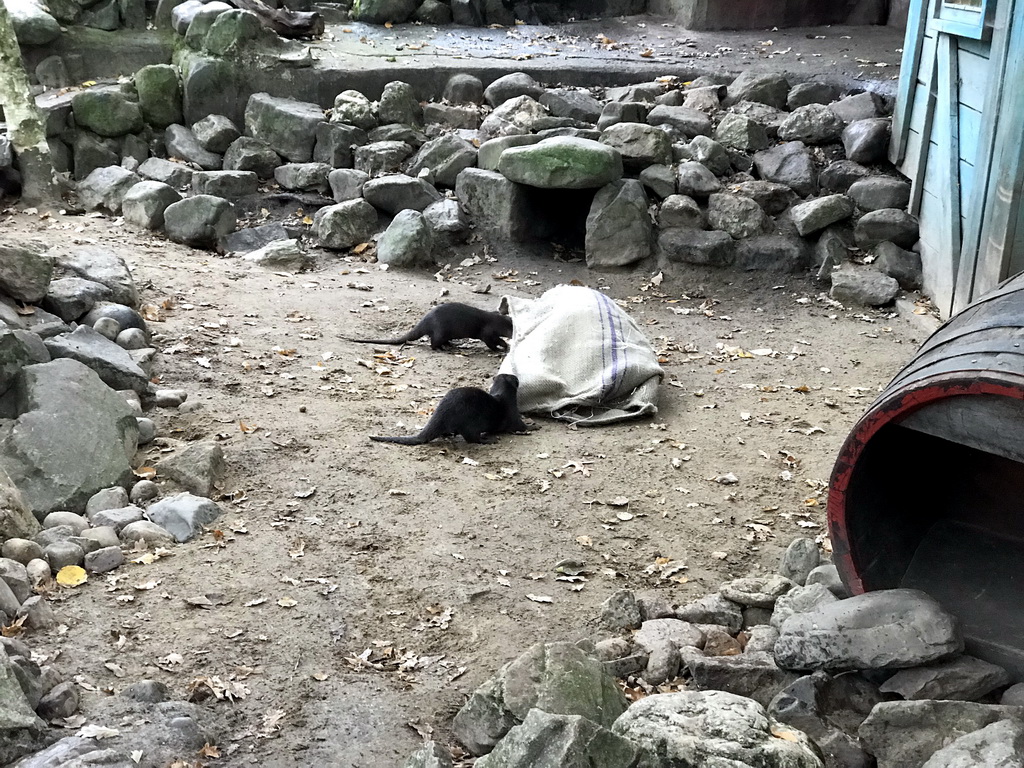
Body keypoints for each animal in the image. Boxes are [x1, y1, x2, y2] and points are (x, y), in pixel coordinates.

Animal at [350, 307, 512, 354]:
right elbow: (492, 342)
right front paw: (502, 347)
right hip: (440, 330)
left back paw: (450, 345)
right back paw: (442, 348)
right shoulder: (488, 332)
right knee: (433, 343)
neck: (496, 321)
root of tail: (426, 320)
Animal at [370, 372, 528, 444]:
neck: (503, 396)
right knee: (471, 438)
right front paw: (532, 427)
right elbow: (521, 426)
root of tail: (442, 413)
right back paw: (487, 440)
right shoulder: (513, 413)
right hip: (470, 422)